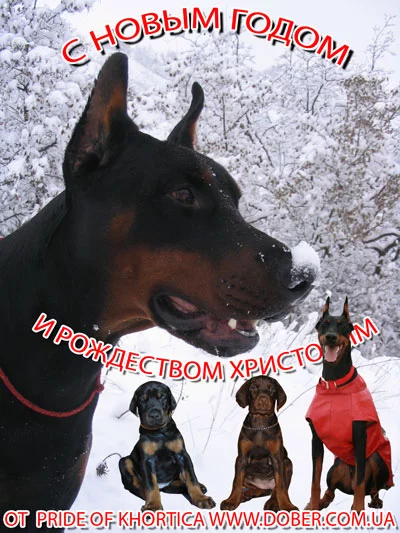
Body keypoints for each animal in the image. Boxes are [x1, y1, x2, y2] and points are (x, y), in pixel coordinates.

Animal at [119, 381, 215, 511]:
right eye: (143, 400)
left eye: (162, 397)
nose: (154, 415)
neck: (159, 432)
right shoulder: (147, 460)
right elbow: (150, 485)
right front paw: (153, 504)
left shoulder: (182, 455)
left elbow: (192, 478)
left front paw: (200, 498)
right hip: (124, 461)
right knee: (136, 485)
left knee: (177, 483)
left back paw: (199, 487)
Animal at [220, 376, 297, 511]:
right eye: (253, 387)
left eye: (271, 389)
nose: (263, 399)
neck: (261, 424)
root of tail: (266, 484)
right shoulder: (241, 459)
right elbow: (236, 482)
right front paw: (231, 501)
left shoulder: (277, 459)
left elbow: (281, 486)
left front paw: (287, 506)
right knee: (262, 490)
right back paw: (246, 494)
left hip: (287, 463)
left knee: (275, 489)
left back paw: (273, 502)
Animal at [305, 297, 394, 512]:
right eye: (325, 324)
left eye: (342, 326)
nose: (330, 337)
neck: (335, 385)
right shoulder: (315, 440)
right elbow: (314, 479)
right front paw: (312, 507)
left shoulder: (360, 438)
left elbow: (361, 482)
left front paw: (358, 511)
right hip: (336, 466)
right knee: (331, 489)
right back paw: (322, 502)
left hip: (376, 459)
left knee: (370, 487)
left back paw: (374, 502)